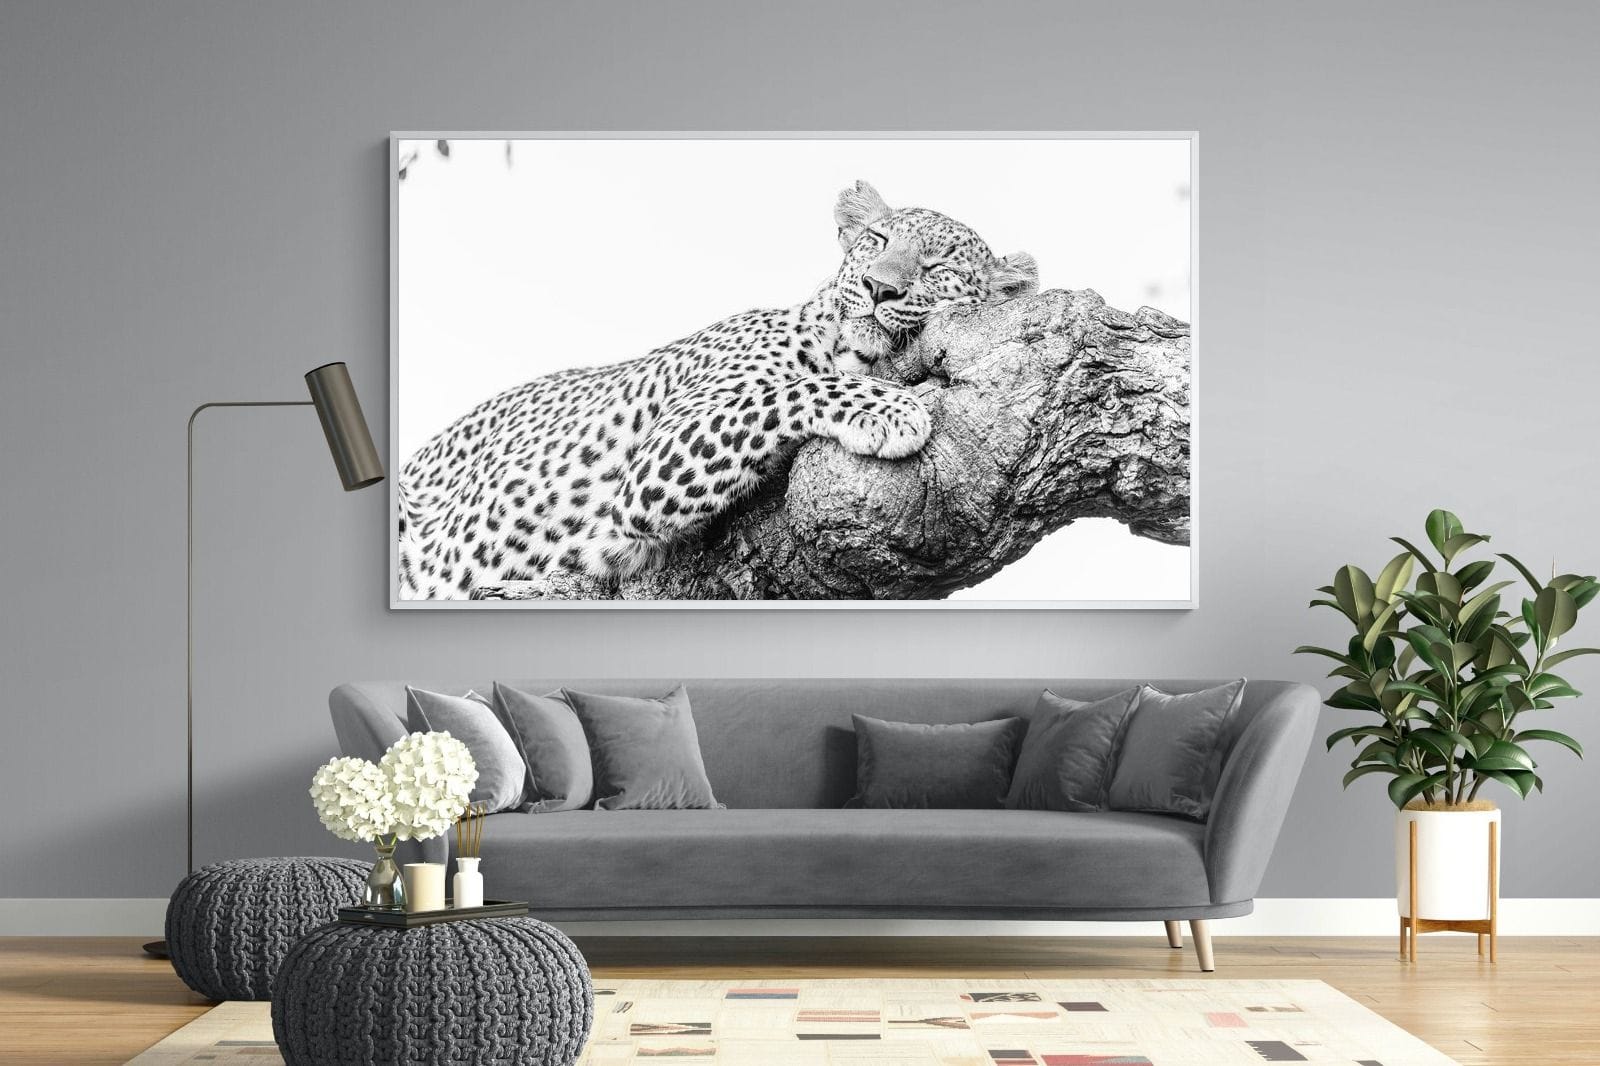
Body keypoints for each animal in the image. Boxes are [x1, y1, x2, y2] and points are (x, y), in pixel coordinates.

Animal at [397, 180, 1037, 599]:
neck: (844, 343)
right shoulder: (652, 465)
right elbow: (788, 391)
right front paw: (891, 408)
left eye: (937, 267)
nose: (879, 288)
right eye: (878, 240)